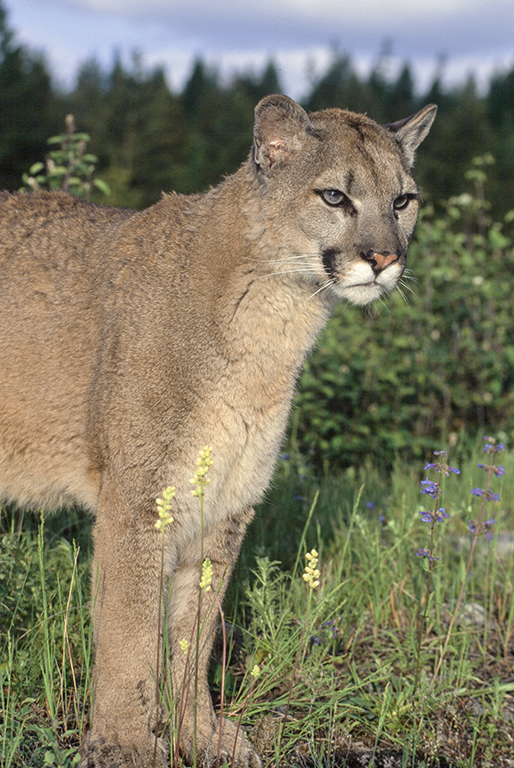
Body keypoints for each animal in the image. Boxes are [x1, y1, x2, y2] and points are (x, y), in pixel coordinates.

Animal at [0, 93, 432, 764]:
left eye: (403, 201)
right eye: (335, 196)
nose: (385, 259)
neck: (276, 320)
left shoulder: (225, 501)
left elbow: (192, 634)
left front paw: (198, 734)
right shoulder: (140, 499)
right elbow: (129, 633)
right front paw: (126, 743)